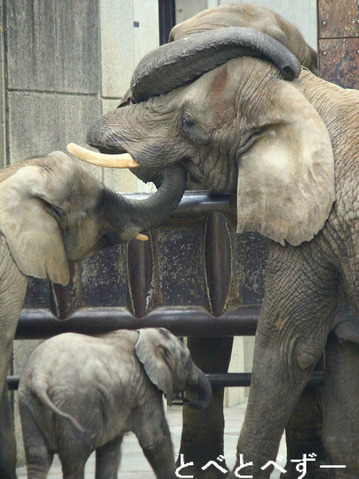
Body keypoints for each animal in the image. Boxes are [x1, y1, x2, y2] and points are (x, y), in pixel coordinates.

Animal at [18, 328, 212, 479]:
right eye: (187, 363)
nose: (188, 400)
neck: (145, 334)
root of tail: (40, 375)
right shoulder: (145, 389)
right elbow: (154, 440)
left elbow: (109, 449)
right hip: (75, 403)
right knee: (74, 459)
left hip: (27, 400)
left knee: (38, 458)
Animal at [69, 15, 359, 479]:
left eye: (189, 123)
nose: (289, 66)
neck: (302, 96)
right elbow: (343, 360)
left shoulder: (317, 222)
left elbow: (288, 349)